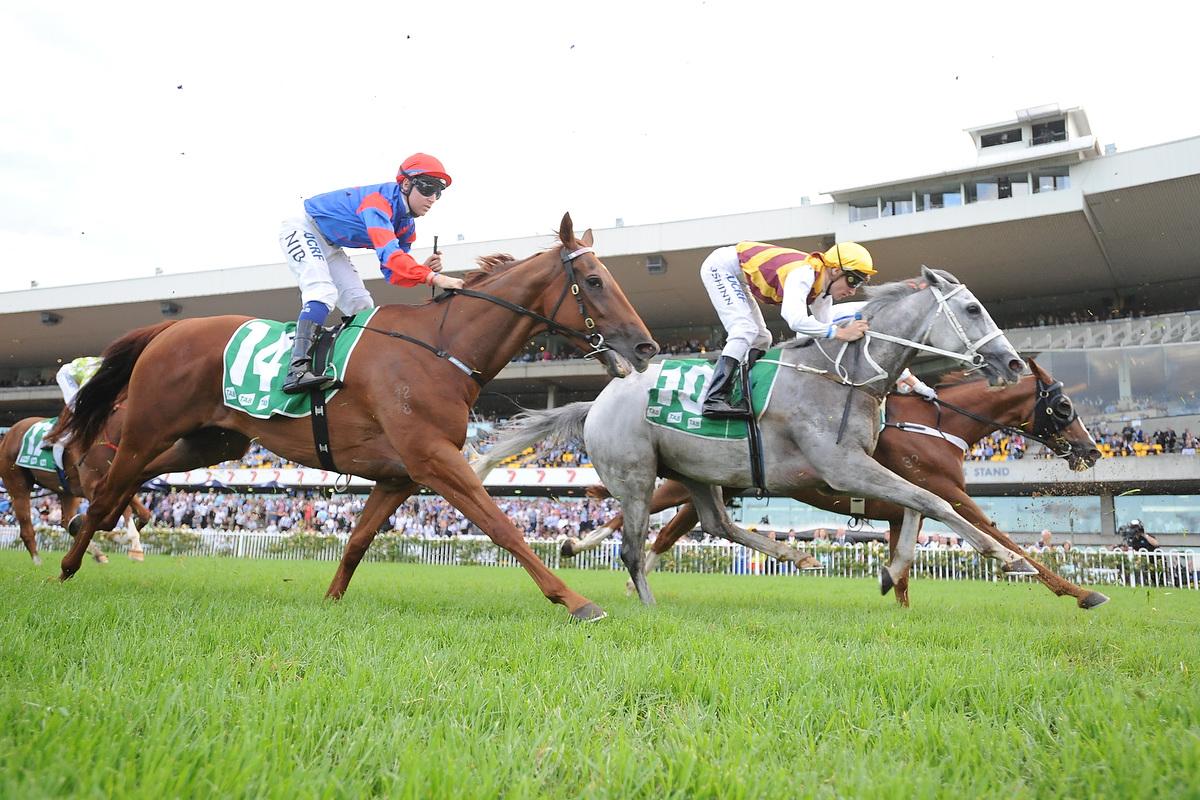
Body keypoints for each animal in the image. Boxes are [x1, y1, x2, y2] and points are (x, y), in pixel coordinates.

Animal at [0, 411, 152, 565]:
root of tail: (8, 434)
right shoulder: (94, 484)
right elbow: (119, 512)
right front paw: (133, 546)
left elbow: (144, 514)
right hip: (17, 484)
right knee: (26, 528)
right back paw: (38, 562)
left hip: (65, 490)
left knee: (66, 521)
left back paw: (96, 552)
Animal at [49, 214, 657, 622]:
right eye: (596, 281)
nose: (647, 346)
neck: (441, 349)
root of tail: (169, 328)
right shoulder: (434, 459)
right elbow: (501, 525)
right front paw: (575, 600)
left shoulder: (398, 474)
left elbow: (359, 540)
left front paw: (330, 600)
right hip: (151, 423)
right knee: (112, 482)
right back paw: (69, 563)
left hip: (214, 441)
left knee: (134, 477)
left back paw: (98, 524)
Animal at [476, 267, 1040, 606]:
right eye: (972, 309)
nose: (1013, 363)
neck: (843, 375)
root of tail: (597, 401)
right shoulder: (843, 467)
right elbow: (932, 503)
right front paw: (1008, 556)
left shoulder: (864, 468)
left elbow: (917, 508)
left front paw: (890, 570)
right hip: (636, 475)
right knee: (635, 548)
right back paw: (644, 601)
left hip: (696, 472)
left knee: (716, 523)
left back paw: (796, 555)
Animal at [563, 359, 1108, 609]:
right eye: (1064, 407)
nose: (1091, 450)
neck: (936, 426)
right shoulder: (949, 493)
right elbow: (1000, 536)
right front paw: (1080, 592)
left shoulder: (904, 501)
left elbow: (908, 549)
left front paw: (894, 589)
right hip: (680, 477)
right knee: (641, 512)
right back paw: (581, 544)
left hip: (708, 483)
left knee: (678, 525)